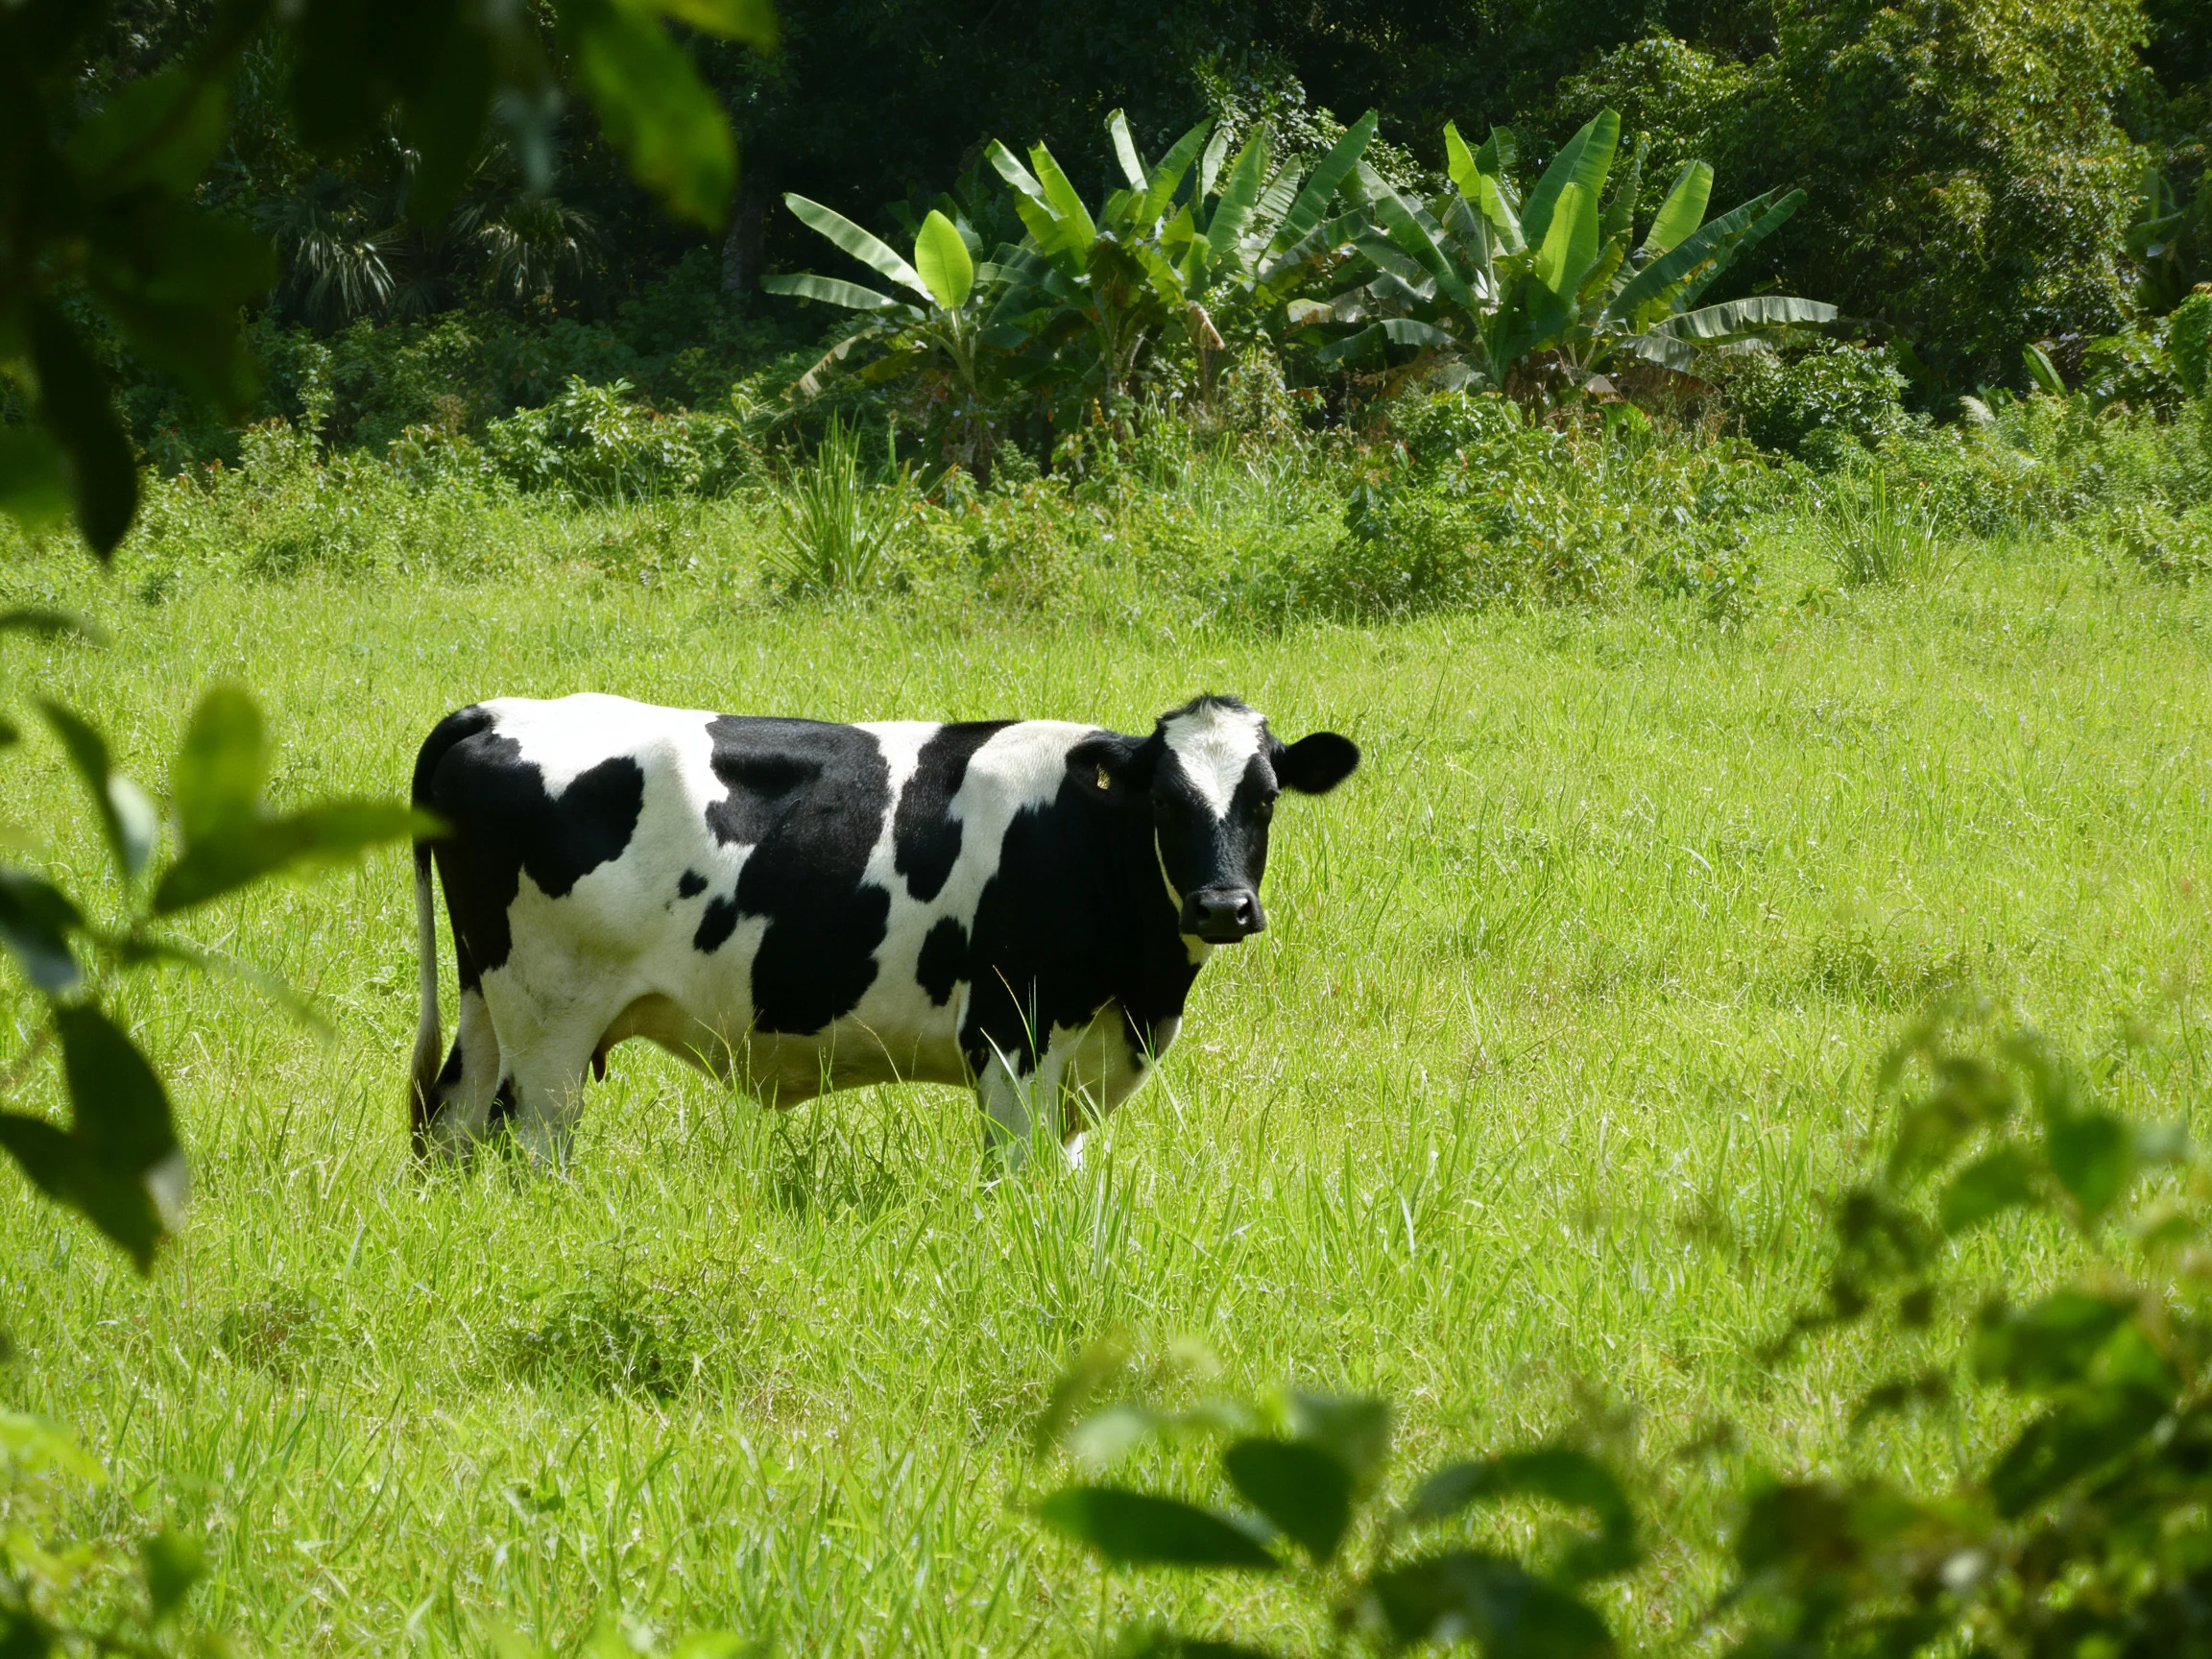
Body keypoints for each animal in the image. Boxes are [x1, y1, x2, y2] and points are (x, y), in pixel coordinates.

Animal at [407, 693, 1359, 1168]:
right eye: (1164, 802)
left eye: (1265, 799)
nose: (1222, 908)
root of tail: (499, 709)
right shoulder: (1011, 1036)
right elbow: (1019, 1180)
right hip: (552, 1018)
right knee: (532, 1143)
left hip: (489, 1000)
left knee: (449, 1121)